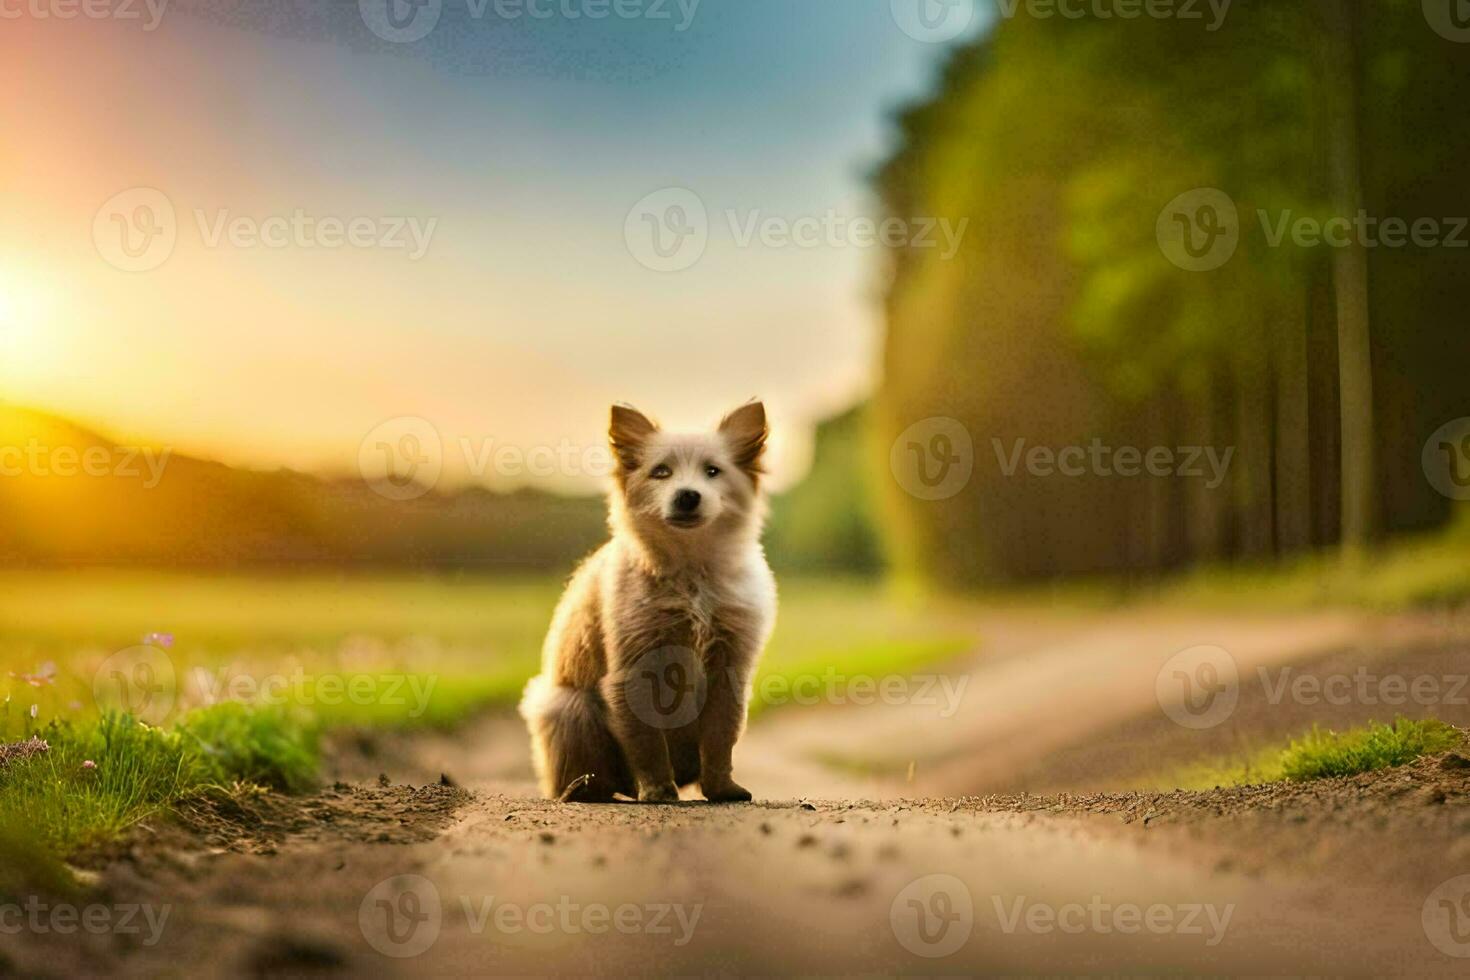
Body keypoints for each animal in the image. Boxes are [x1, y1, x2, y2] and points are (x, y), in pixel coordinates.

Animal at [523, 399, 782, 805]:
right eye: (661, 472)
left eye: (713, 471)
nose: (687, 495)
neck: (690, 573)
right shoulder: (634, 671)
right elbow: (647, 744)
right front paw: (659, 790)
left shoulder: (729, 671)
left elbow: (720, 739)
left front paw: (722, 789)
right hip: (568, 707)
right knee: (591, 777)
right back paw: (585, 789)